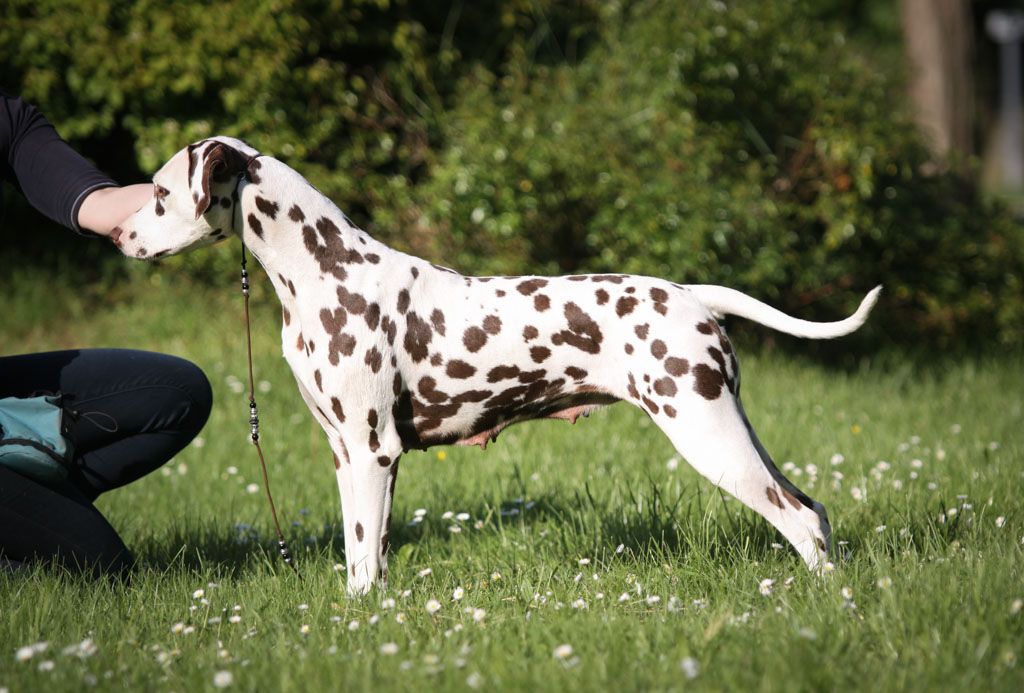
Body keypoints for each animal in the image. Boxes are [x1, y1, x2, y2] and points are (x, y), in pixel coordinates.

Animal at [112, 136, 880, 593]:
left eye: (159, 194)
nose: (117, 232)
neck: (324, 269)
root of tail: (692, 293)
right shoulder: (347, 454)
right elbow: (368, 553)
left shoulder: (371, 450)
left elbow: (362, 558)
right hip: (731, 429)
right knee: (814, 509)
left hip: (707, 435)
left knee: (798, 519)